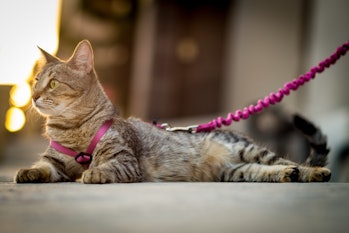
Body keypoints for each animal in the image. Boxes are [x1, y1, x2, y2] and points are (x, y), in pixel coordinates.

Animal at [14, 39, 330, 183]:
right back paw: (287, 175)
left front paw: (90, 174)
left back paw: (314, 172)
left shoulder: (126, 161)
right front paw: (28, 172)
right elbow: (43, 167)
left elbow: (105, 167)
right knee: (267, 170)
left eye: (53, 83)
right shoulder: (54, 163)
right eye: (36, 81)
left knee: (288, 161)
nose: (33, 95)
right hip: (236, 171)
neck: (73, 129)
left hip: (249, 151)